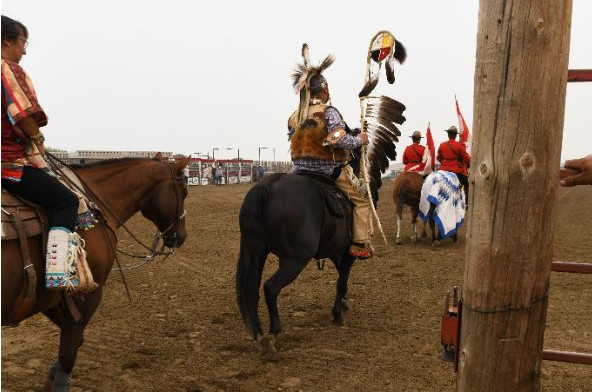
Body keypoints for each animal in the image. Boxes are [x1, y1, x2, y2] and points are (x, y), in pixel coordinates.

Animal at [1, 156, 188, 392]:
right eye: (184, 192)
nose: (182, 236)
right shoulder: (86, 294)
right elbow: (68, 354)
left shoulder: (49, 300)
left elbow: (75, 342)